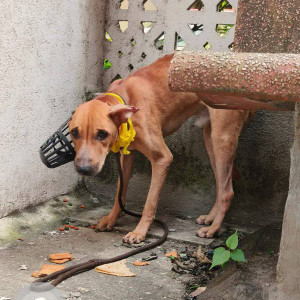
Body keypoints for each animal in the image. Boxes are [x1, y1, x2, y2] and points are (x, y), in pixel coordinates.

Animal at [68, 55, 253, 244]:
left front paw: (139, 232)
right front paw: (112, 219)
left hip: (222, 139)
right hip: (210, 140)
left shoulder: (162, 158)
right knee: (221, 185)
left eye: (102, 134)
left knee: (227, 191)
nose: (83, 169)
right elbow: (120, 193)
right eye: (74, 132)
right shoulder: (126, 156)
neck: (125, 100)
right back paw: (210, 218)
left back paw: (214, 228)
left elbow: (149, 203)